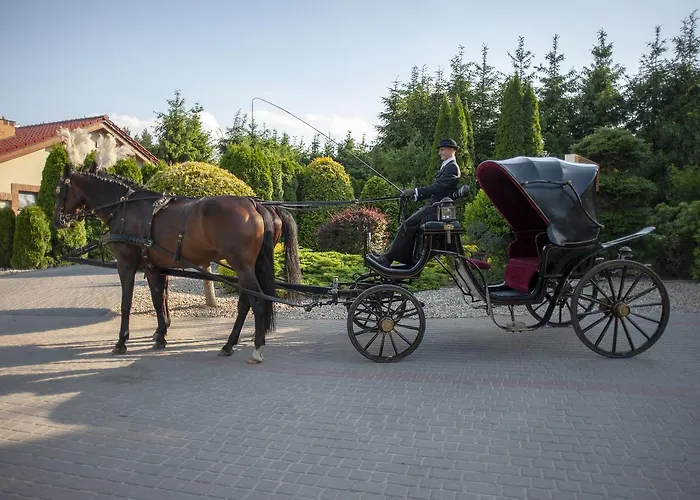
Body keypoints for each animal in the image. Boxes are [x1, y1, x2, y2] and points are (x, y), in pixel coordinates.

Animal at [53, 160, 301, 364]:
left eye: (58, 190)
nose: (57, 221)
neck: (126, 208)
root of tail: (254, 204)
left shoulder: (126, 265)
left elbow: (127, 304)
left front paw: (122, 342)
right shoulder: (154, 267)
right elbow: (158, 299)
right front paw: (160, 335)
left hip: (242, 266)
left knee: (257, 302)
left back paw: (256, 349)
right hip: (248, 267)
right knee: (246, 303)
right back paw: (229, 344)